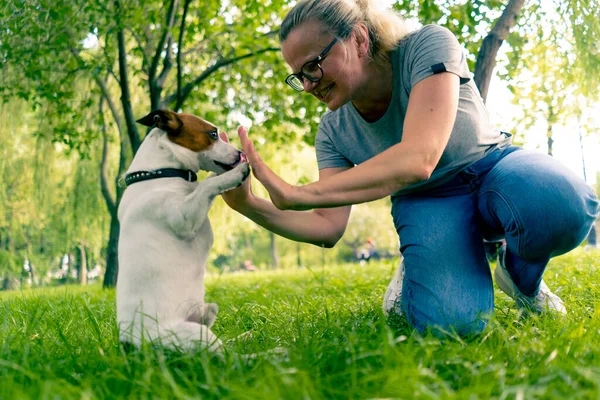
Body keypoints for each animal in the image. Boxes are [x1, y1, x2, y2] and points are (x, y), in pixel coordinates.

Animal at [117, 108, 248, 354]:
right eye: (213, 134)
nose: (241, 153)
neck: (159, 173)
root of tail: (130, 347)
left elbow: (207, 182)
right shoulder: (184, 218)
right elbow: (206, 185)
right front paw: (233, 176)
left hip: (206, 316)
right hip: (195, 334)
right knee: (230, 358)